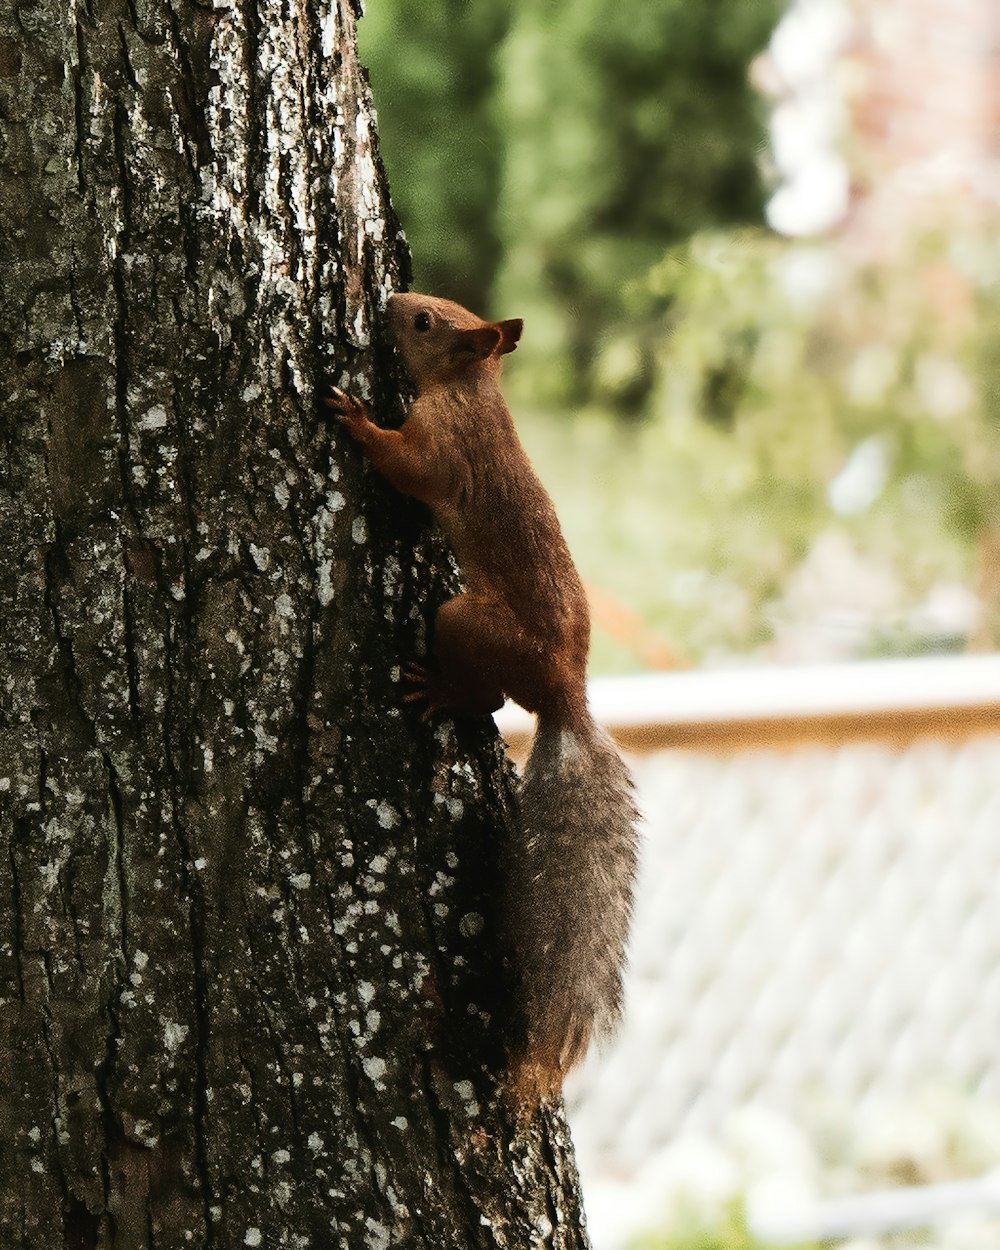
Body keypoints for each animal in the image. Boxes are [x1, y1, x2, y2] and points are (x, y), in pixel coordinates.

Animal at [327, 292, 640, 1105]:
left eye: (425, 322)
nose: (390, 301)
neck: (475, 390)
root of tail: (565, 692)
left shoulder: (444, 447)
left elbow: (408, 466)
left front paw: (354, 417)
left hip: (464, 621)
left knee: (490, 696)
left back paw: (436, 689)